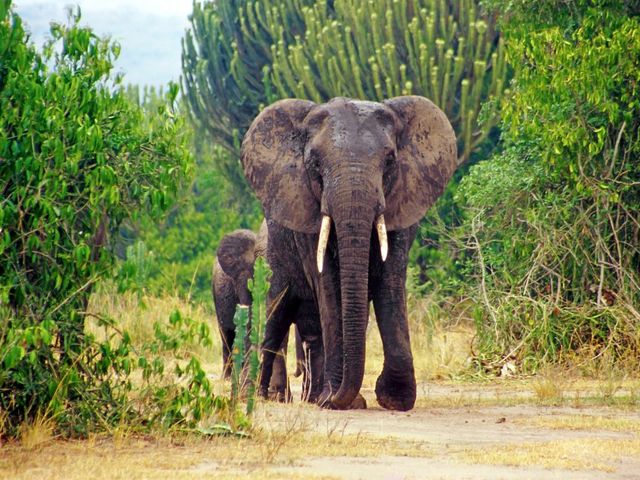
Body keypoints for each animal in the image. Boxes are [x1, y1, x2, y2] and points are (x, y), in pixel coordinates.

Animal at [242, 96, 458, 408]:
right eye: (314, 163)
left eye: (390, 161)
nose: (336, 395)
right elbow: (330, 287)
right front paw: (335, 399)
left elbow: (390, 281)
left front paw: (394, 399)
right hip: (269, 257)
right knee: (274, 315)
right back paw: (263, 395)